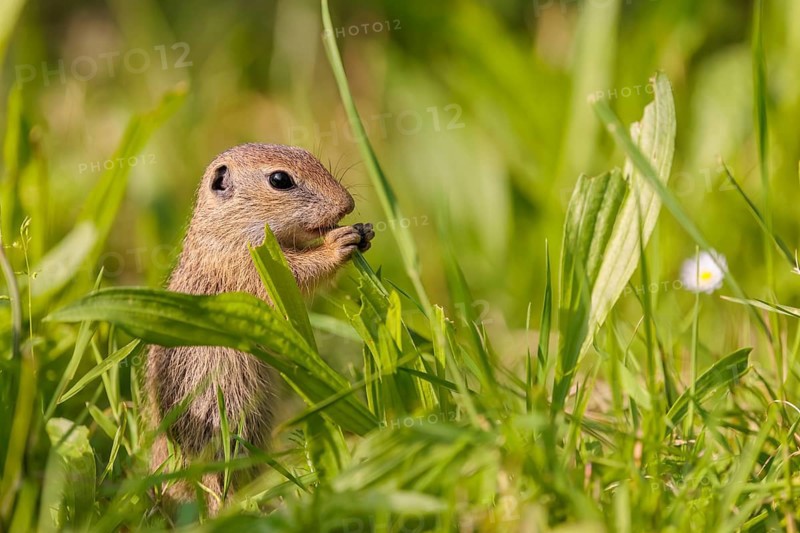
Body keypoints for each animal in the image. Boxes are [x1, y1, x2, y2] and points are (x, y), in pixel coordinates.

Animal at [145, 143, 374, 513]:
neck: (226, 229)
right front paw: (339, 242)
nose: (348, 204)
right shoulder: (245, 264)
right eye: (280, 180)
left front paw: (364, 231)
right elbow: (296, 275)